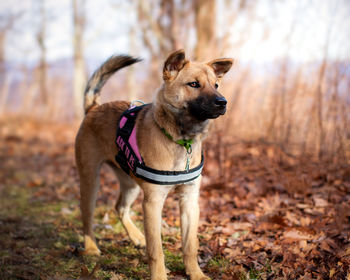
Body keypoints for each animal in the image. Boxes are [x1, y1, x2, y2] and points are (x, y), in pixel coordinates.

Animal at [74, 49, 232, 278]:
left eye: (216, 85)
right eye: (194, 84)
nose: (223, 102)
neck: (180, 140)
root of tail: (94, 108)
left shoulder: (189, 201)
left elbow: (190, 245)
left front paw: (195, 273)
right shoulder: (153, 203)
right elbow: (156, 250)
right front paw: (159, 276)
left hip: (130, 184)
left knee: (120, 208)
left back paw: (137, 237)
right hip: (90, 180)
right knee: (87, 215)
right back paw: (92, 247)